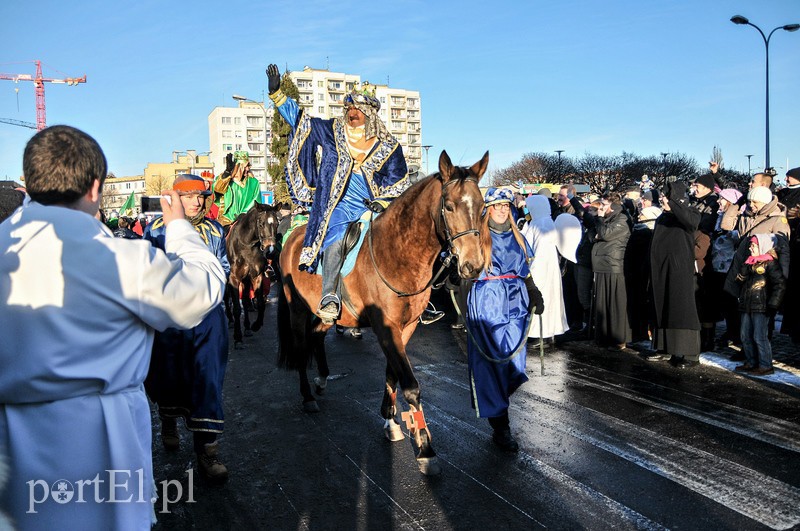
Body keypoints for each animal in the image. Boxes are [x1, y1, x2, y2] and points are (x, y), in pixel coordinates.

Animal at [276, 151, 488, 478]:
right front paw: (425, 449)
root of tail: (292, 236)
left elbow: (392, 373)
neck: (398, 254)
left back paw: (322, 378)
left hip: (326, 316)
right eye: (450, 206)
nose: (472, 266)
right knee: (301, 347)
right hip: (297, 308)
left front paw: (390, 420)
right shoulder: (386, 326)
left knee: (317, 337)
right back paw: (308, 396)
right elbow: (411, 385)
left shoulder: (406, 326)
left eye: (481, 207)